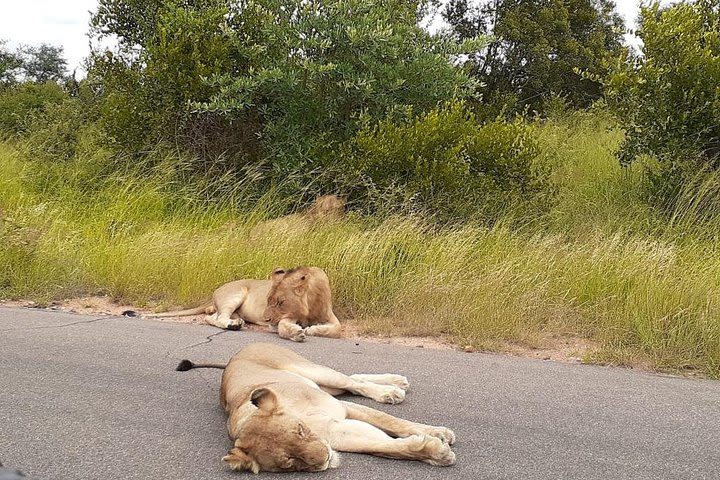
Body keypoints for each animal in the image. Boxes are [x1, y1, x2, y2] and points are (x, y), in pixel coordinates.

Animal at [146, 266, 340, 342]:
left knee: (212, 317)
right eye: (268, 300)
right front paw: (297, 332)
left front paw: (313, 329)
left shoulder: (330, 317)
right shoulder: (284, 319)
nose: (266, 319)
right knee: (217, 317)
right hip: (235, 294)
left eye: (280, 302)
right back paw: (233, 325)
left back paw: (237, 322)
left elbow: (336, 329)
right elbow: (283, 326)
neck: (310, 304)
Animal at [175, 344, 456, 474]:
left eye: (300, 431)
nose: (325, 459)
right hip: (325, 384)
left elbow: (395, 423)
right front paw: (435, 452)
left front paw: (439, 434)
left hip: (314, 371)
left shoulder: (341, 408)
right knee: (354, 380)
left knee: (352, 380)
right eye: (289, 462)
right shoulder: (340, 433)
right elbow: (384, 446)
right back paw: (394, 387)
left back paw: (392, 389)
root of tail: (235, 355)